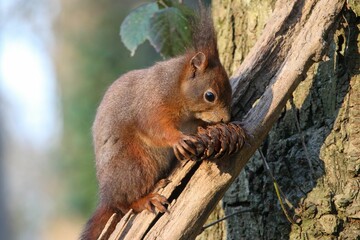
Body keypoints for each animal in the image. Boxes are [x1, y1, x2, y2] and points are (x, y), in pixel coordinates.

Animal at [80, 6, 232, 240]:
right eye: (210, 96)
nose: (227, 118)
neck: (175, 87)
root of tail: (107, 197)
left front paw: (208, 129)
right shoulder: (151, 105)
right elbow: (155, 128)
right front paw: (178, 140)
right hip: (135, 165)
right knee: (124, 204)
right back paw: (146, 199)